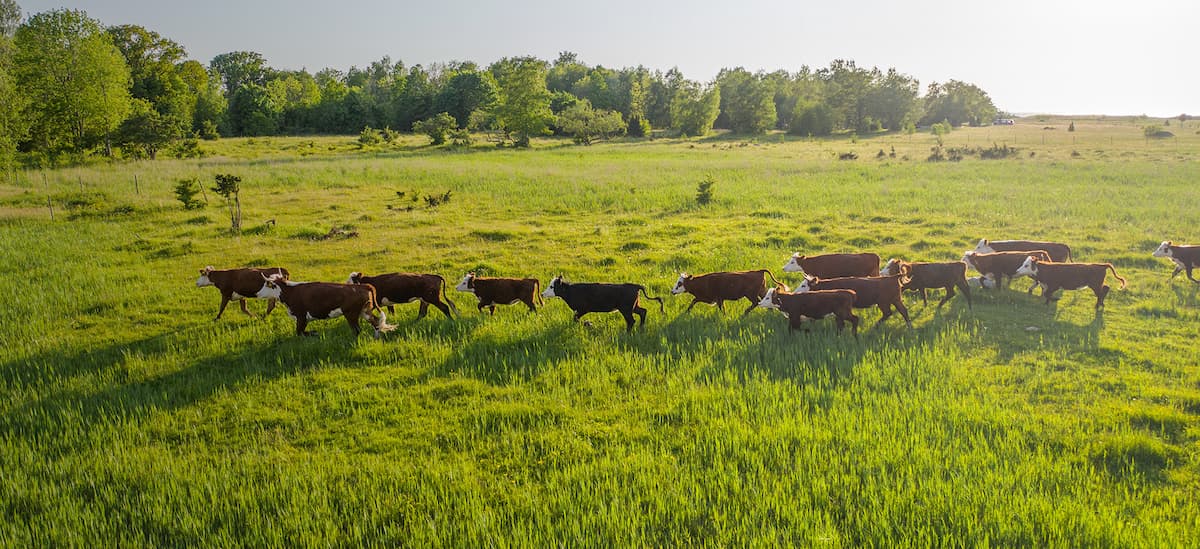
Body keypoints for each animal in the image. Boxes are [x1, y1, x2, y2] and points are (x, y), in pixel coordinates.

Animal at [255, 274, 395, 337]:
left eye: (266, 284)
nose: (257, 293)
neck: (291, 291)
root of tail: (363, 286)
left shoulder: (301, 317)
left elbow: (300, 332)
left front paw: (313, 333)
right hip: (364, 311)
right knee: (376, 322)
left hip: (351, 314)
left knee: (357, 330)